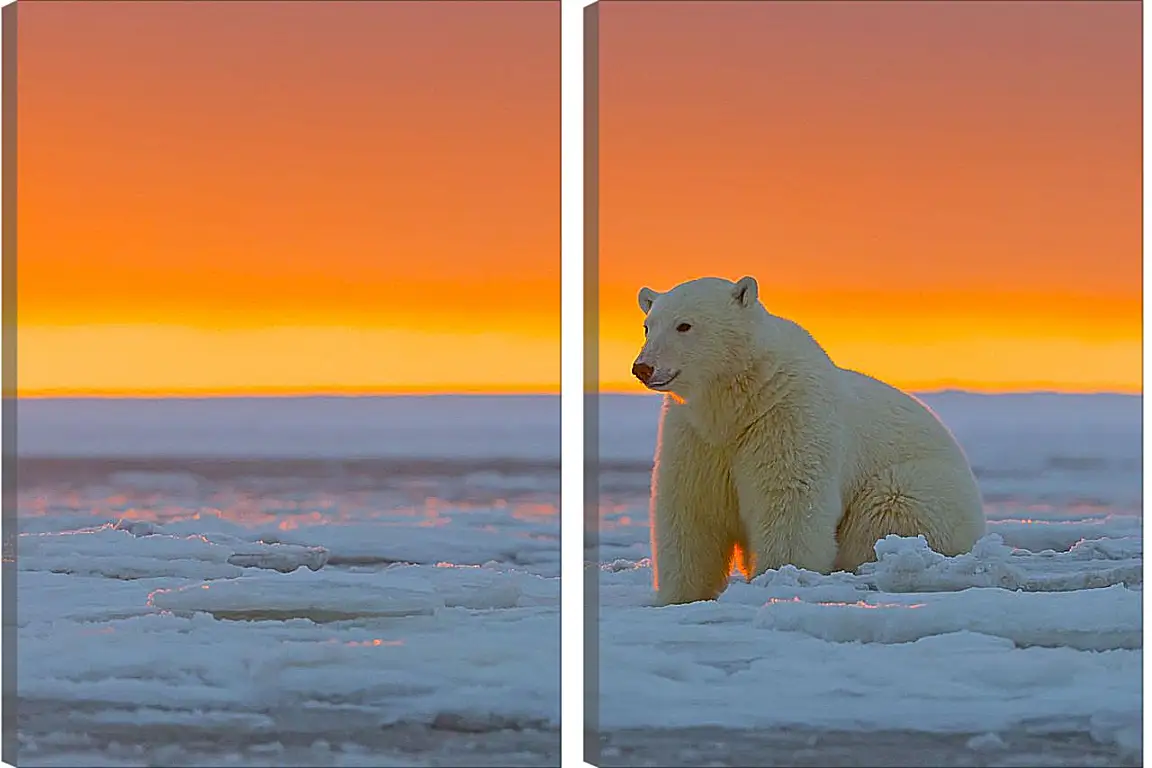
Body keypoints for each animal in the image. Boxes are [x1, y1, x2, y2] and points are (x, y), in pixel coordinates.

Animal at [635, 276, 986, 607]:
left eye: (684, 325)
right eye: (648, 326)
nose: (643, 367)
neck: (739, 404)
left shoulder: (788, 415)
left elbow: (788, 501)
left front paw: (779, 578)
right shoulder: (694, 434)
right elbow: (690, 509)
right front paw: (679, 596)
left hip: (924, 489)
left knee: (890, 507)